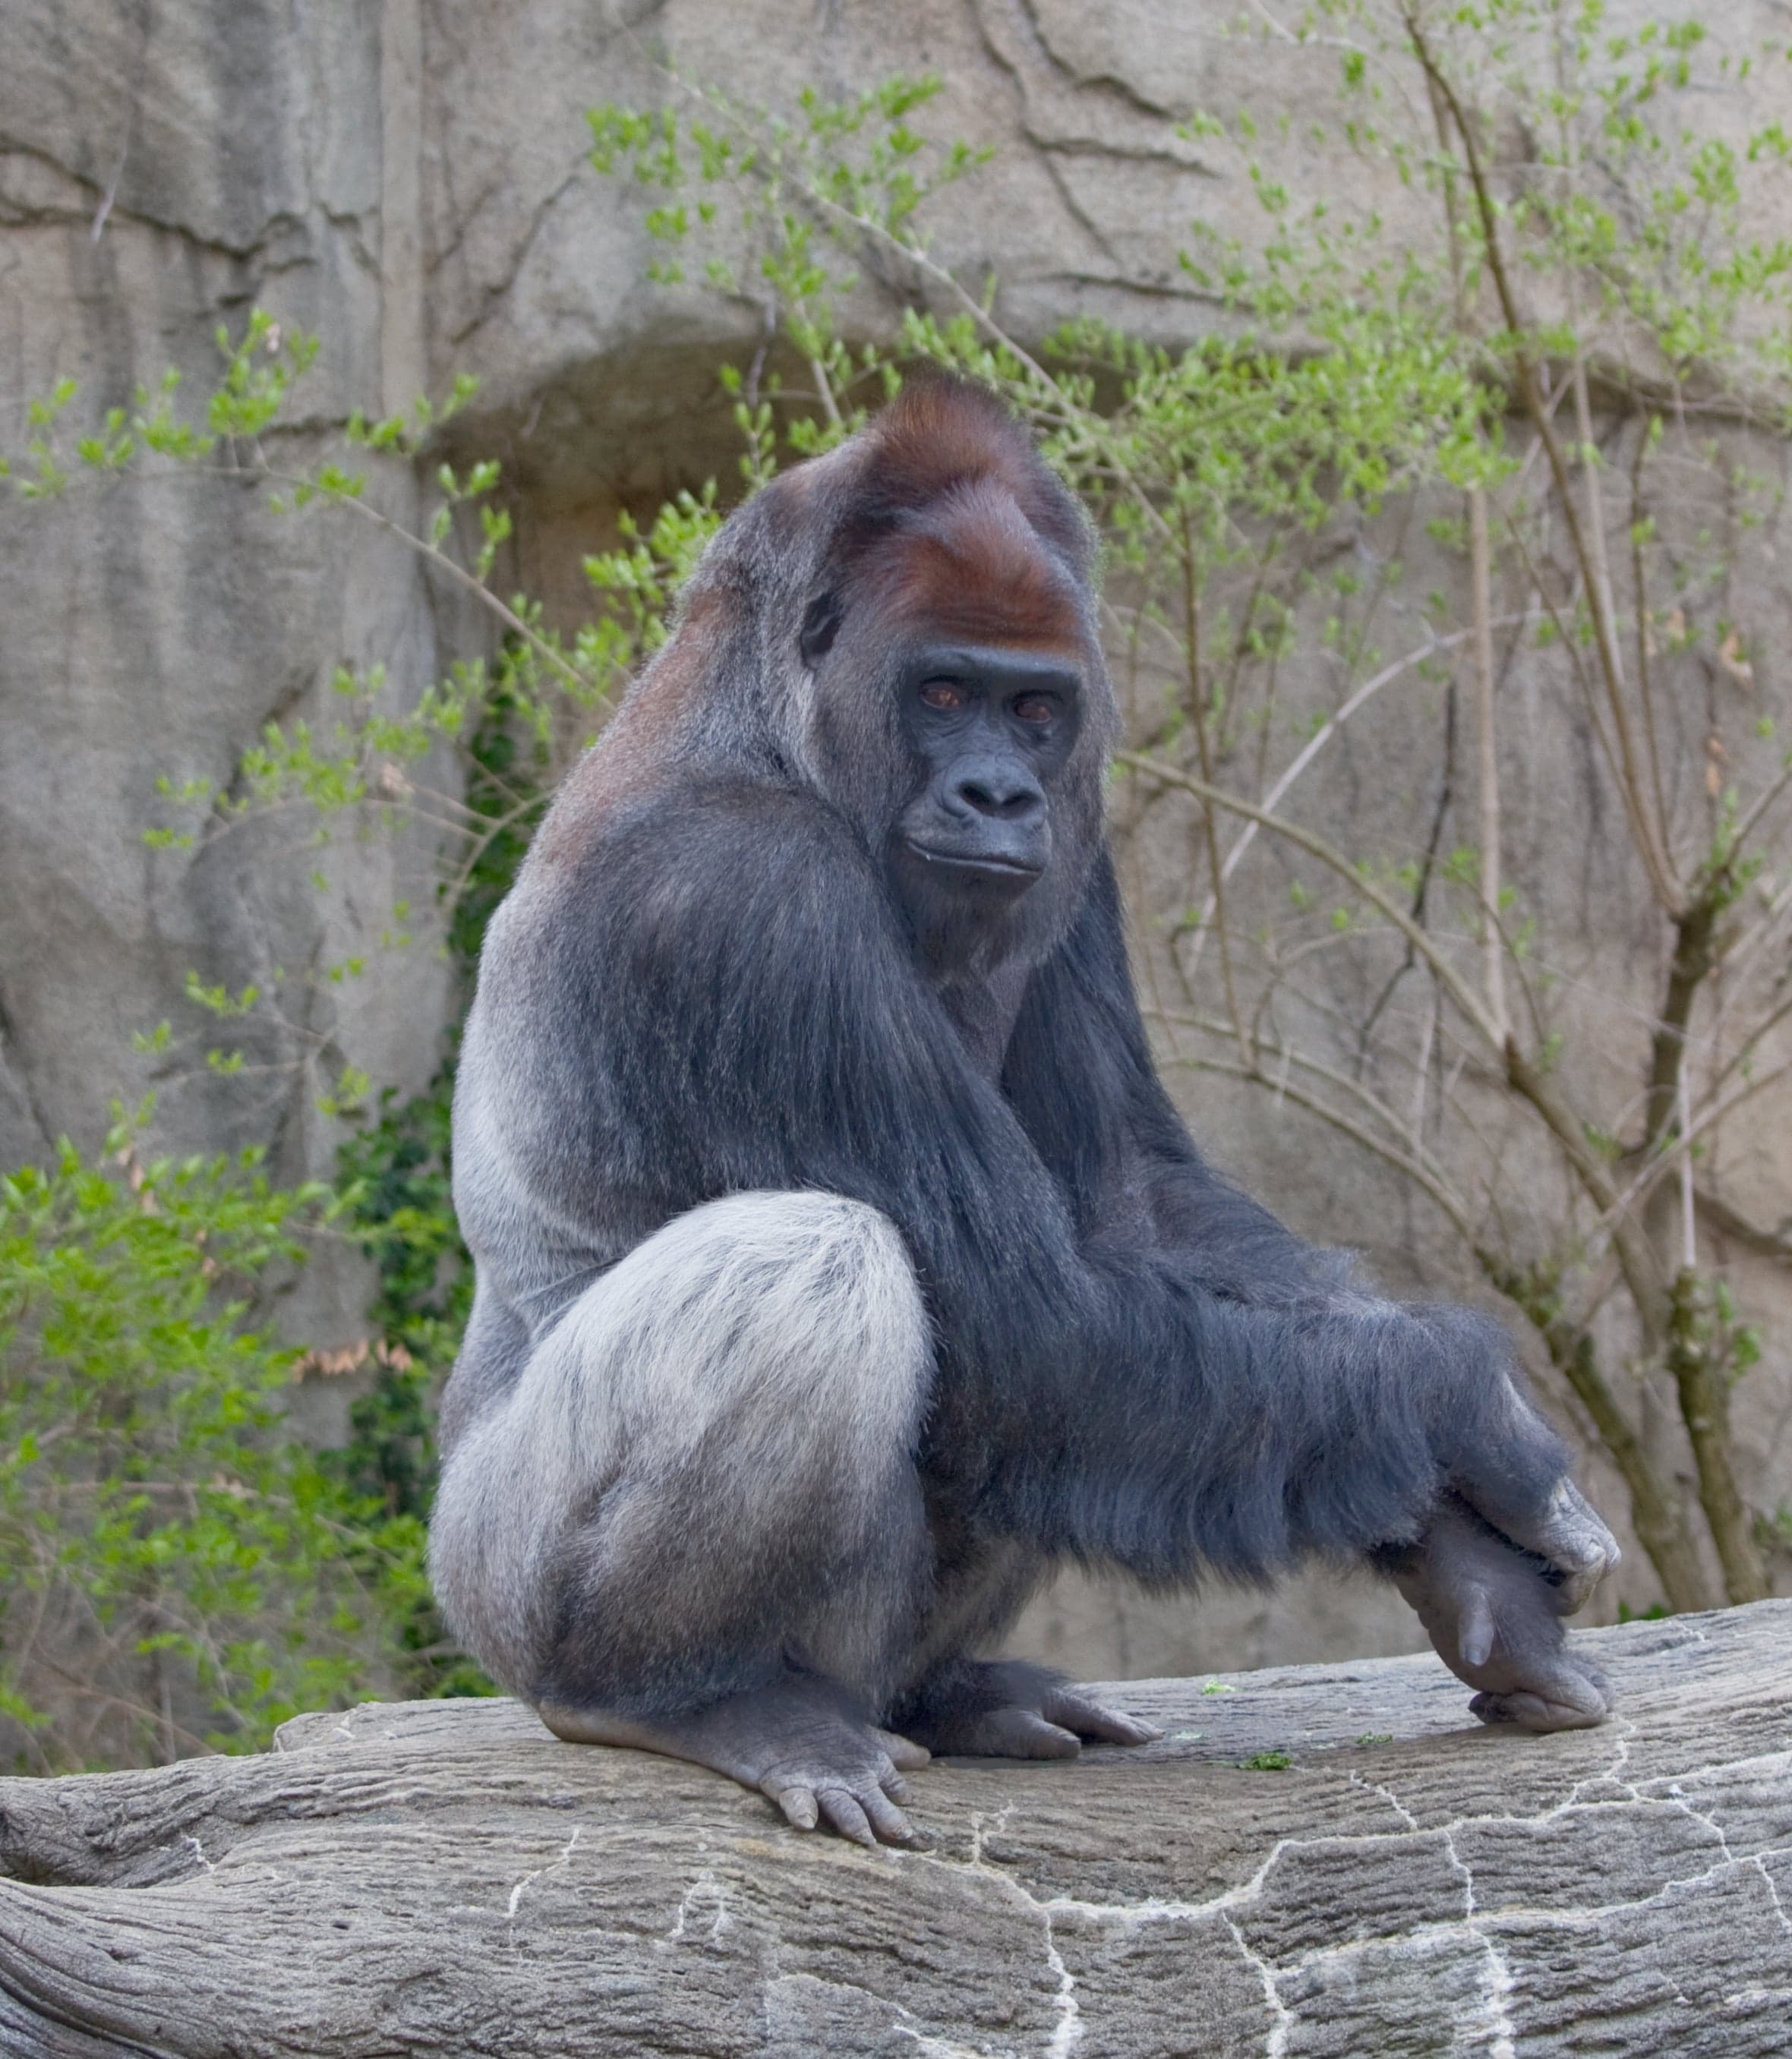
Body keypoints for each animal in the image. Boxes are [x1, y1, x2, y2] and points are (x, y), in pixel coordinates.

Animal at [429, 375, 1619, 1848]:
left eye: (1036, 709)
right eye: (944, 691)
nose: (997, 793)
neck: (760, 712)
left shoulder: (1082, 839)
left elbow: (1125, 1215)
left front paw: (1465, 1554)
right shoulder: (734, 899)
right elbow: (1029, 1313)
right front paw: (1481, 1433)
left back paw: (950, 1694)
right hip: (488, 1587)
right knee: (814, 1264)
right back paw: (671, 1694)